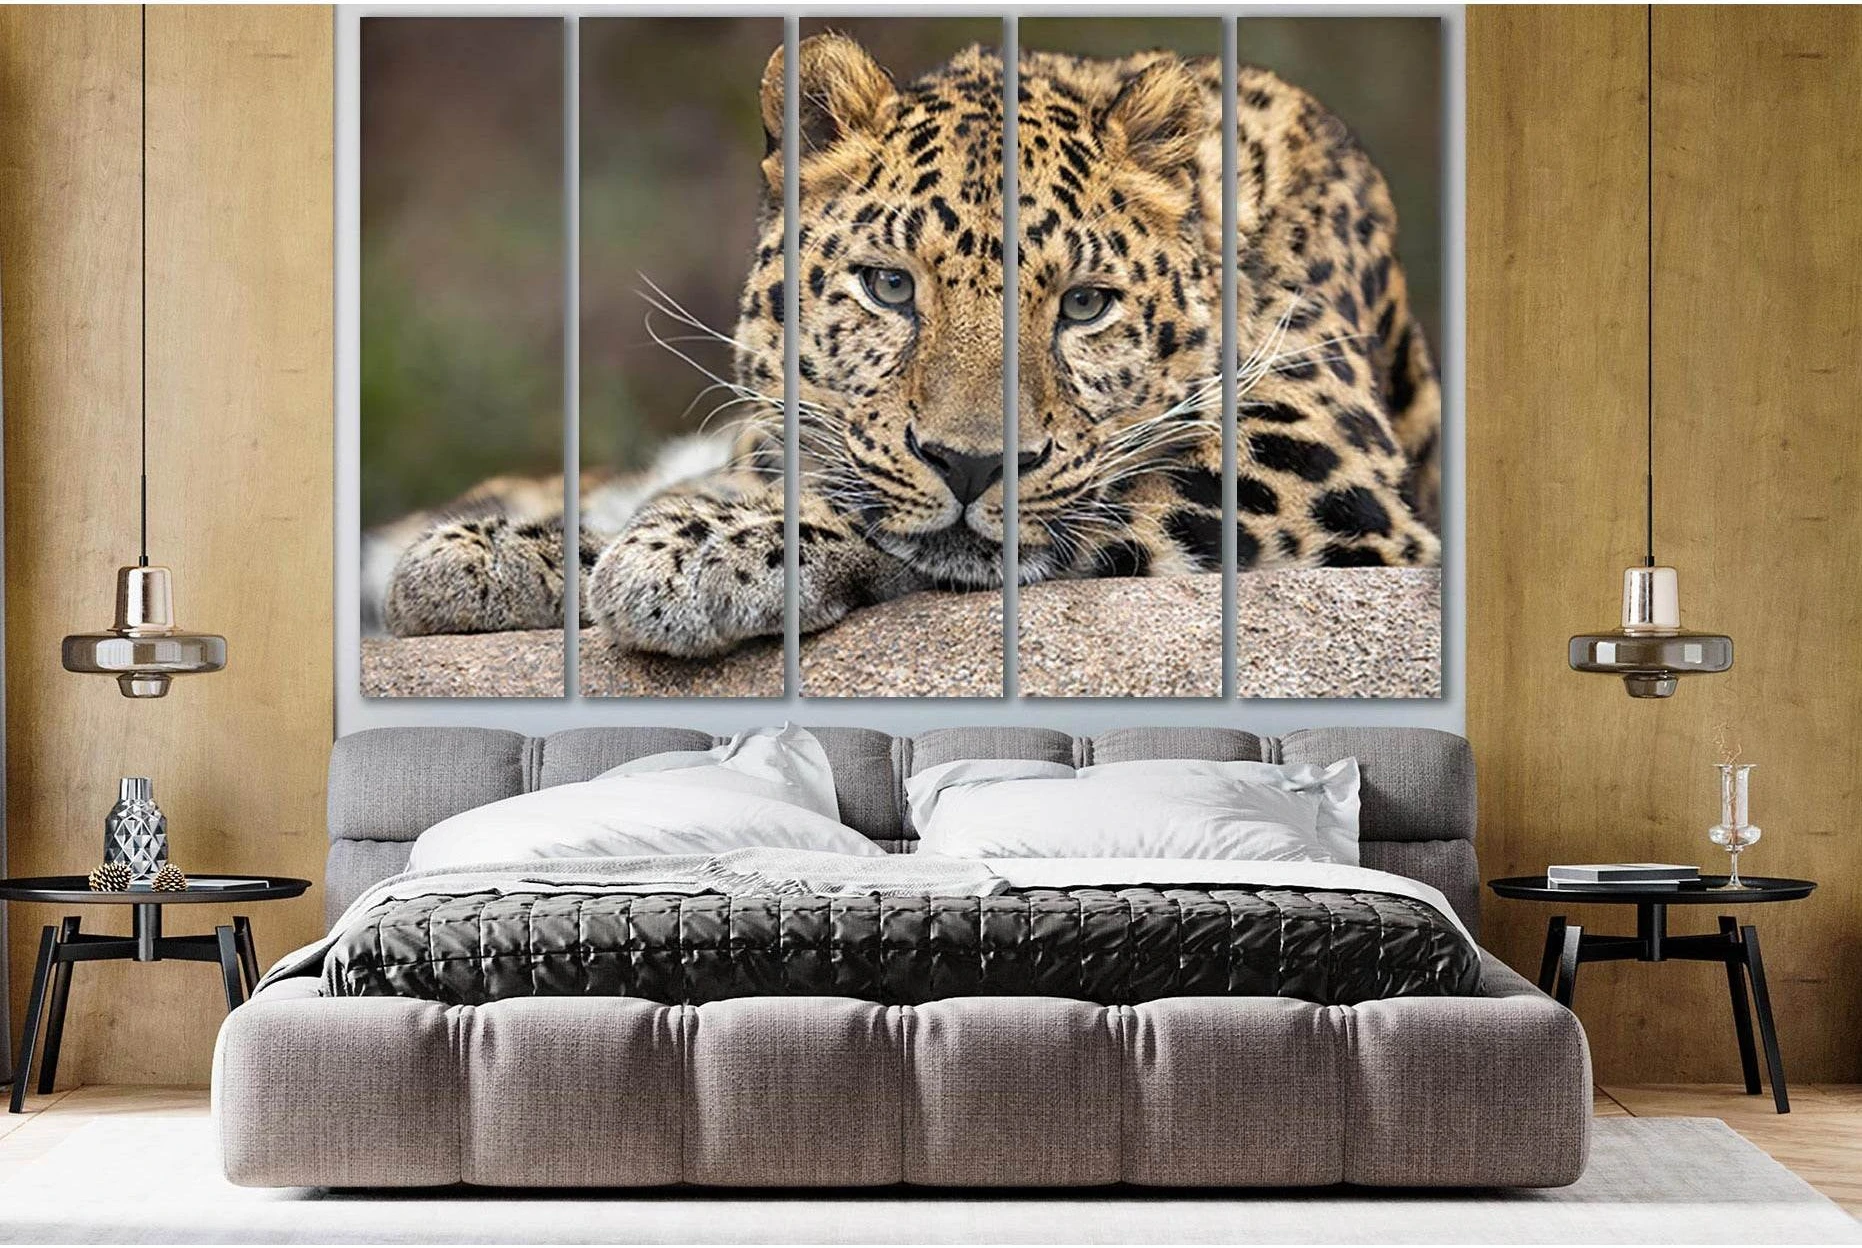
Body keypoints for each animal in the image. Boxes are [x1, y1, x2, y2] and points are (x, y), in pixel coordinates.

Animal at [370, 34, 1441, 657]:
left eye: (1085, 306)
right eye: (891, 287)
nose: (970, 465)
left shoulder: (1320, 464)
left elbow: (1064, 515)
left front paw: (695, 553)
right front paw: (508, 553)